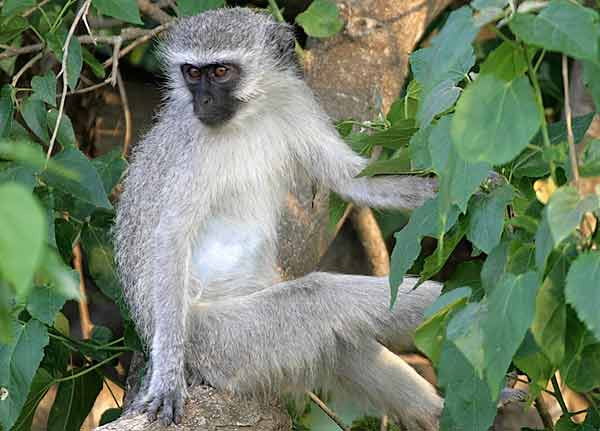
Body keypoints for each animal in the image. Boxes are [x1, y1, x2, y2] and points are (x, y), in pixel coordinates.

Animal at [115, 7, 442, 431]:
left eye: (221, 72)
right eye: (192, 73)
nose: (203, 100)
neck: (249, 116)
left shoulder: (295, 101)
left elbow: (349, 178)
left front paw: (450, 188)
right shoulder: (193, 148)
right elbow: (171, 237)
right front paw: (167, 380)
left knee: (343, 341)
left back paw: (441, 409)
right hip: (217, 341)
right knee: (321, 298)